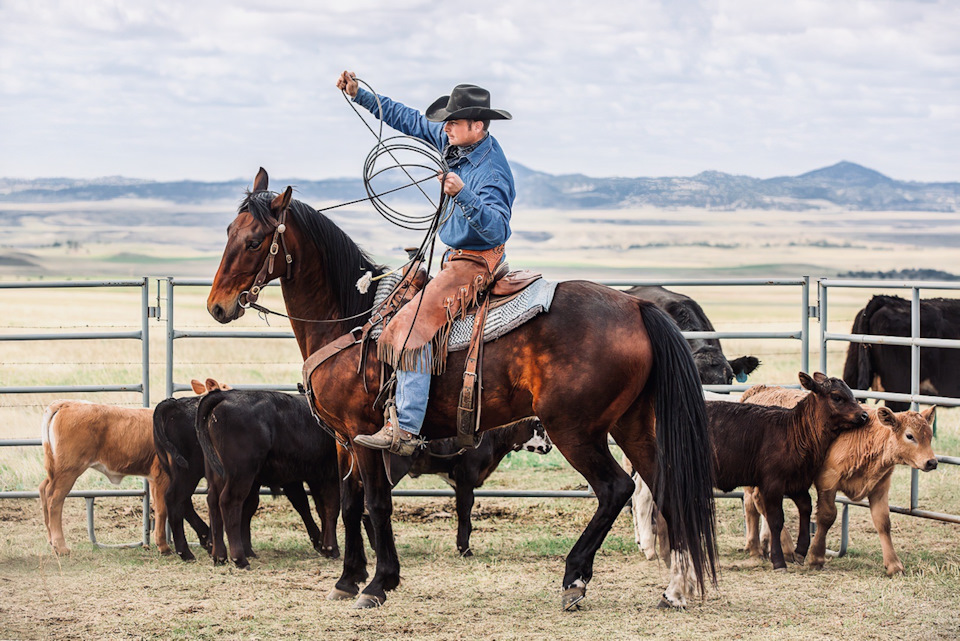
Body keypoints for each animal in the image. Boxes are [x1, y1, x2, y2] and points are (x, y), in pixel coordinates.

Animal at [206, 168, 716, 608]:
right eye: (227, 231)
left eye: (254, 241)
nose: (217, 306)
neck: (352, 319)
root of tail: (636, 308)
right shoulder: (343, 439)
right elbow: (350, 504)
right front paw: (348, 580)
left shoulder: (366, 435)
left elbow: (375, 503)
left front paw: (378, 583)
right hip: (632, 425)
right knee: (667, 488)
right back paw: (676, 590)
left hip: (576, 429)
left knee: (615, 488)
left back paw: (575, 578)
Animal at [708, 372, 868, 568]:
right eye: (837, 397)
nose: (864, 415)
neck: (792, 433)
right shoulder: (772, 484)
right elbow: (775, 520)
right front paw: (779, 560)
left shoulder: (797, 482)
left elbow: (806, 507)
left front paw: (800, 550)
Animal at [740, 384, 932, 576]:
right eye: (910, 436)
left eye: (930, 435)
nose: (932, 461)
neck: (865, 436)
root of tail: (760, 390)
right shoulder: (828, 481)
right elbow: (827, 516)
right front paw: (816, 557)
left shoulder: (880, 487)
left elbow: (883, 522)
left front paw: (894, 565)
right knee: (759, 502)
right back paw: (784, 549)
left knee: (753, 505)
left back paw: (759, 547)